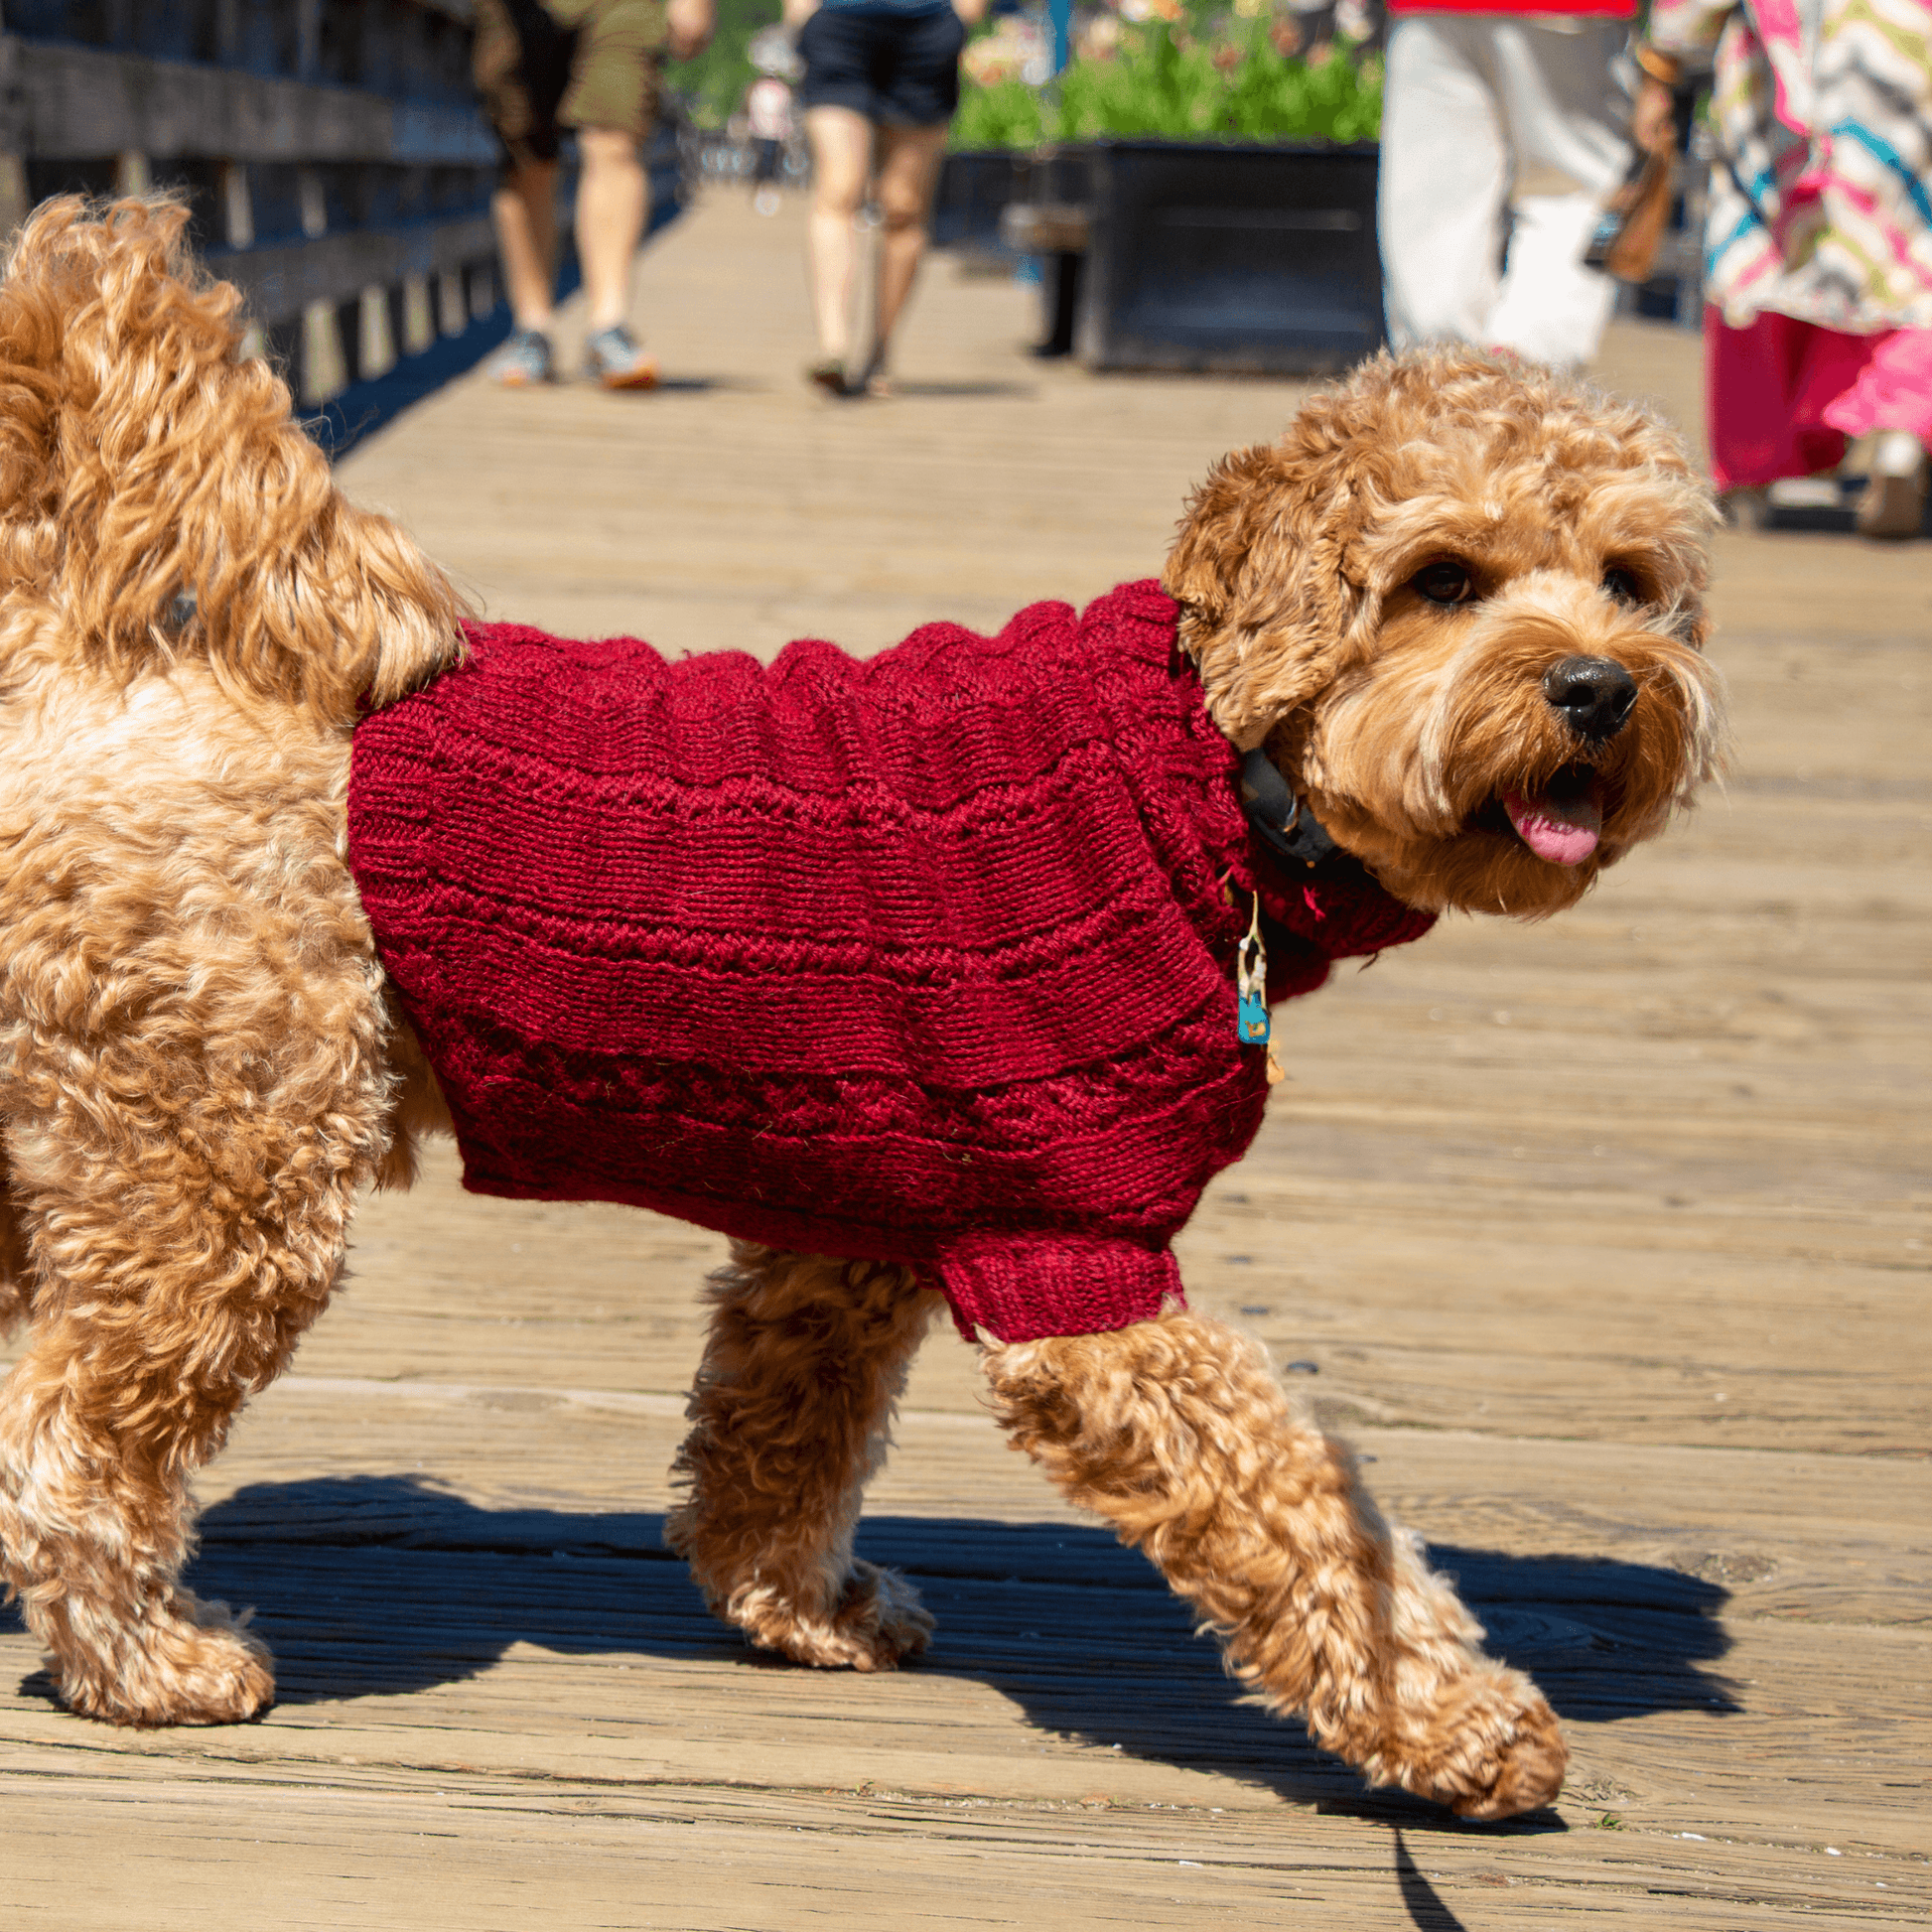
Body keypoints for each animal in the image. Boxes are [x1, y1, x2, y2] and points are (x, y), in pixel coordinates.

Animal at [0, 204, 1730, 1816]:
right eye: (1443, 579)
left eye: (1632, 583)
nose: (1599, 686)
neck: (1198, 778)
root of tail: (65, 659)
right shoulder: (1076, 1266)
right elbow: (1302, 1501)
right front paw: (1457, 1722)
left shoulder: (849, 1234)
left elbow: (778, 1439)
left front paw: (802, 1606)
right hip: (220, 1178)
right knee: (64, 1443)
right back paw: (150, 1663)